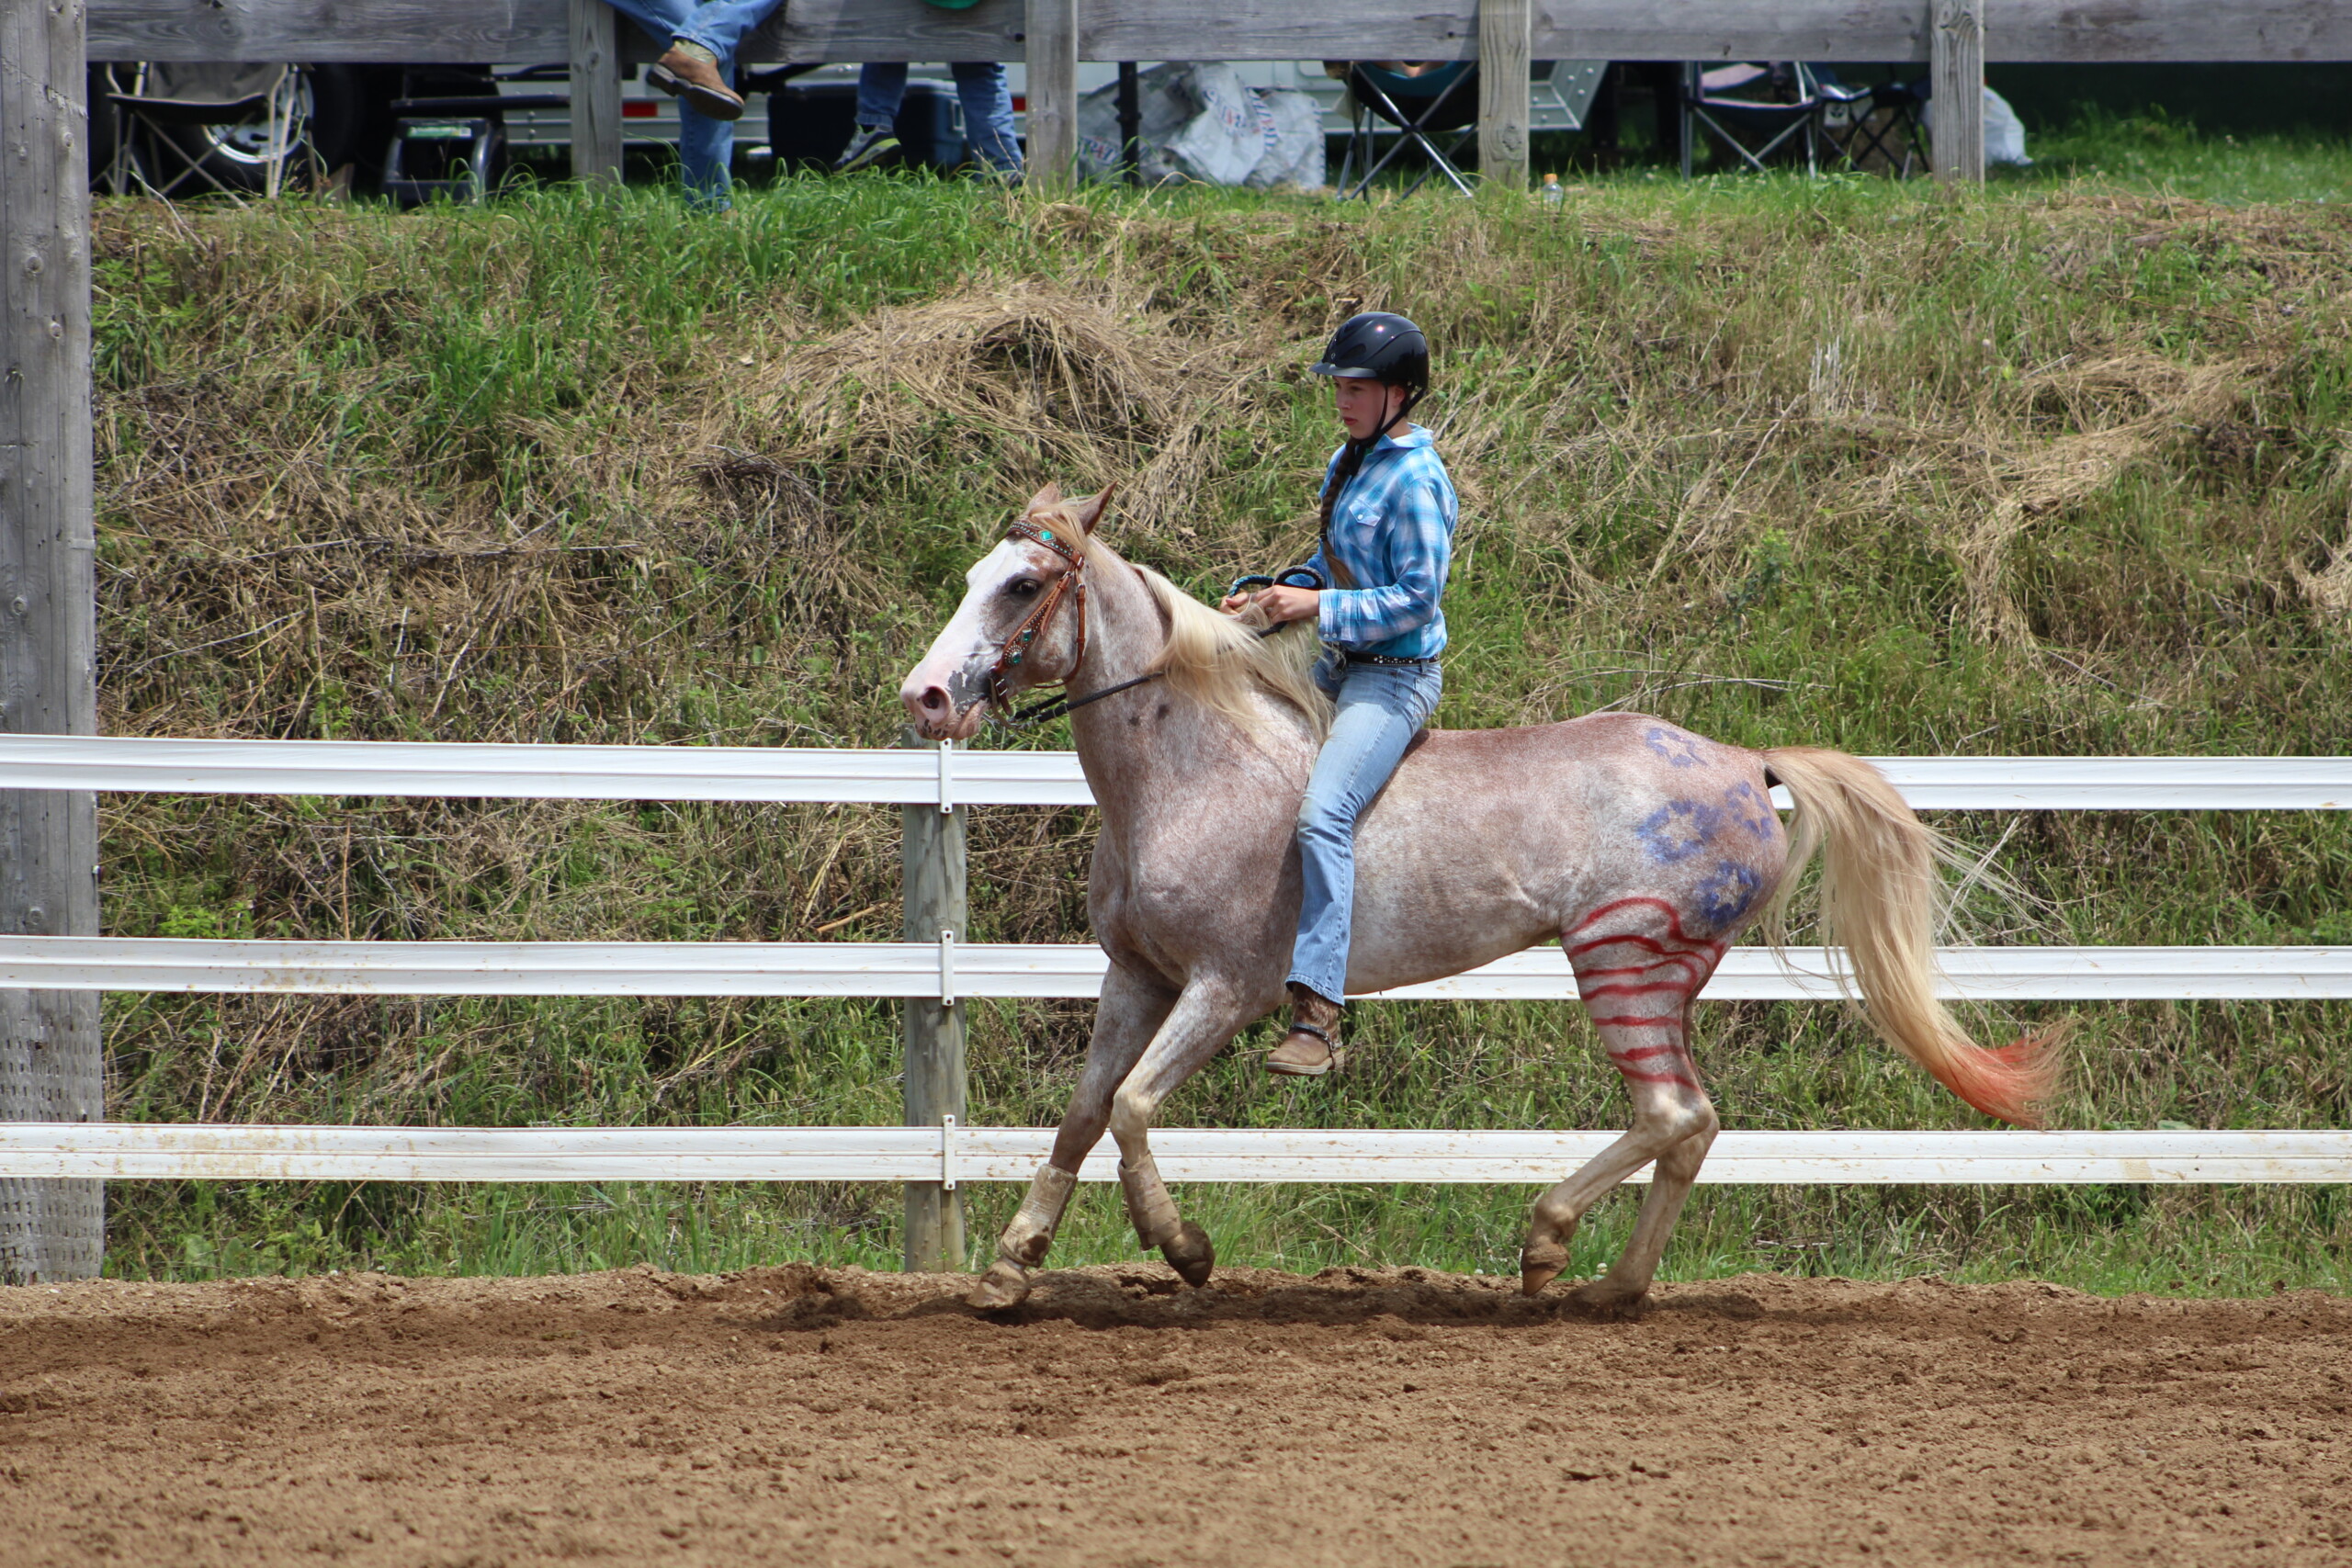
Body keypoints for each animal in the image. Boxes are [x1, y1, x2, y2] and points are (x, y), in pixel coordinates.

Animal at [898, 484, 2060, 1316]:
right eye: (975, 574)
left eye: (1019, 587)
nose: (926, 697)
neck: (1192, 772)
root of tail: (1745, 763)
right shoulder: (1135, 978)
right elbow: (1084, 1114)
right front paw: (1009, 1268)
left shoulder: (1225, 989)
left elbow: (1135, 1107)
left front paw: (1183, 1250)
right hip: (1657, 977)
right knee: (1691, 1126)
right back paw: (1612, 1286)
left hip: (1621, 962)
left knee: (1672, 1113)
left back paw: (1546, 1247)